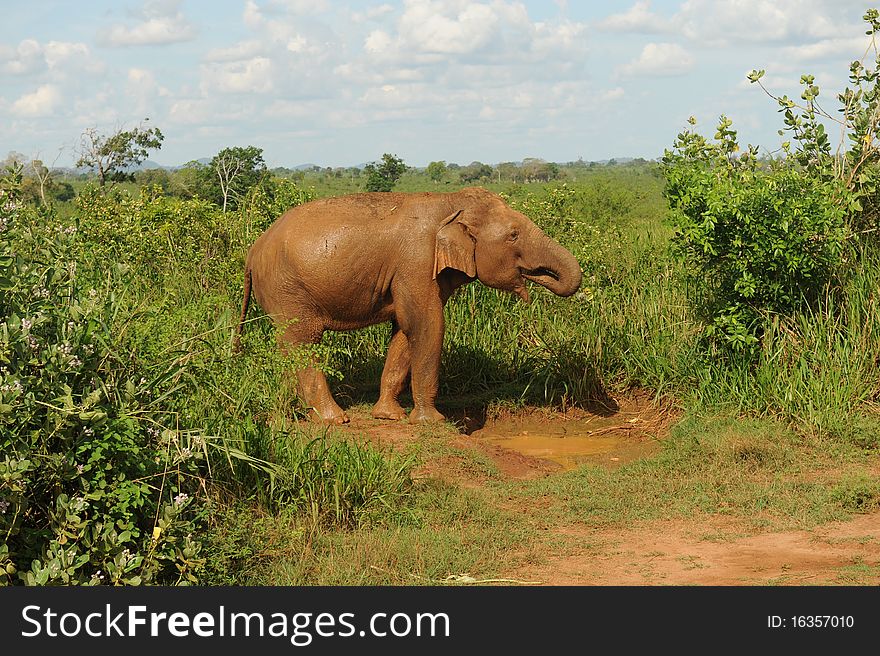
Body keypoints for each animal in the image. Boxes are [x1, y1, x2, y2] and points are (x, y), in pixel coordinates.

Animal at [232, 187, 584, 422]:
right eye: (513, 235)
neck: (450, 201)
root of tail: (252, 252)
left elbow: (403, 330)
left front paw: (390, 416)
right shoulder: (417, 263)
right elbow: (427, 325)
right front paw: (433, 422)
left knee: (288, 347)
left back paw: (292, 412)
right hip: (287, 289)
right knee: (304, 341)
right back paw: (333, 419)